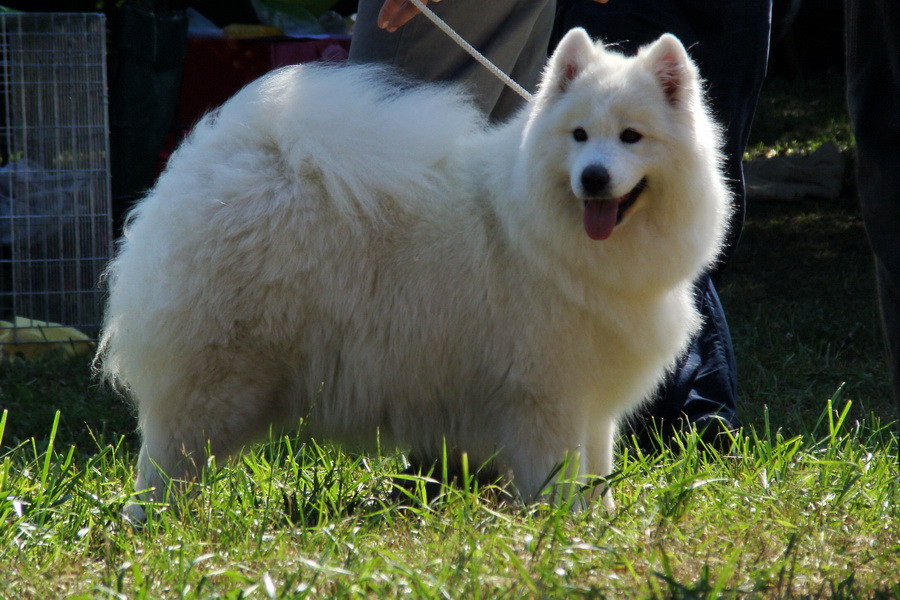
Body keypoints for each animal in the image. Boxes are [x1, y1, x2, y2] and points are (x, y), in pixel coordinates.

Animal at [96, 29, 732, 520]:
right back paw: (151, 525)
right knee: (164, 460)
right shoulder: (544, 399)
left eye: (631, 136)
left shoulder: (593, 404)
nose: (594, 177)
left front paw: (596, 522)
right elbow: (556, 476)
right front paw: (558, 529)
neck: (550, 236)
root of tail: (218, 163)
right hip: (216, 382)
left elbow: (595, 470)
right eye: (578, 136)